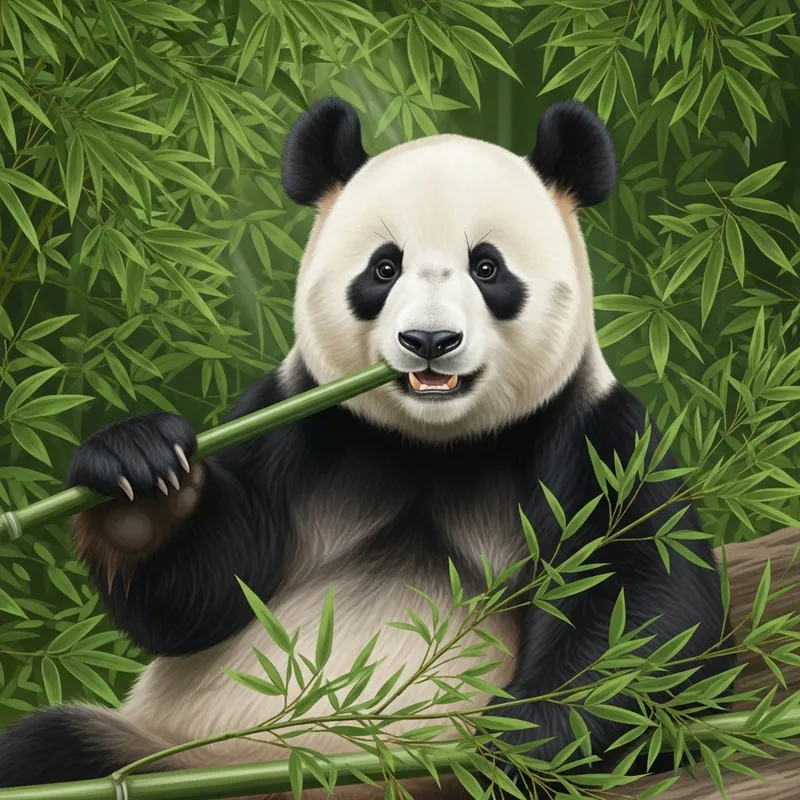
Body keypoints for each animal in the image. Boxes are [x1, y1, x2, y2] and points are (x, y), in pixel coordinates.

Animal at [0, 97, 734, 799]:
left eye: (487, 267)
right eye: (385, 267)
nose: (429, 341)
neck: (433, 443)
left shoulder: (595, 440)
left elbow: (647, 602)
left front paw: (532, 733)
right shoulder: (294, 421)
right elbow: (203, 596)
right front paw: (143, 471)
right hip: (164, 753)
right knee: (49, 749)